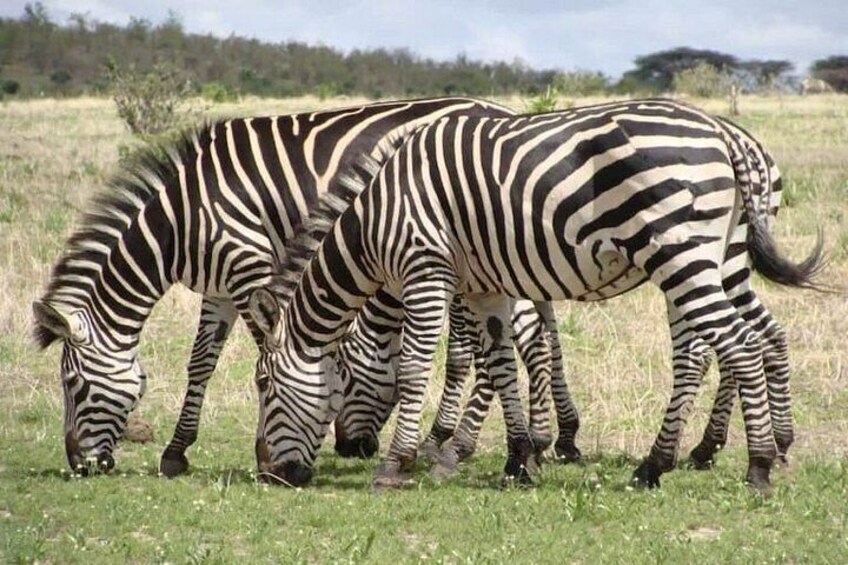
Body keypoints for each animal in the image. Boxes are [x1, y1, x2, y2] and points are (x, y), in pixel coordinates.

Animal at [31, 96, 516, 476]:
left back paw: (452, 444)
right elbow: (201, 362)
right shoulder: (218, 288)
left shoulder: (250, 265)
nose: (79, 467)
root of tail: (499, 109)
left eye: (72, 384)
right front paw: (176, 452)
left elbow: (269, 347)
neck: (180, 221)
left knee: (475, 349)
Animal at [247, 98, 823, 492]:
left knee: (735, 346)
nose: (268, 473)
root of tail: (725, 135)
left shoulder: (426, 271)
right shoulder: (486, 287)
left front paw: (398, 464)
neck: (372, 223)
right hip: (715, 257)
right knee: (741, 341)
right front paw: (518, 460)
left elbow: (419, 369)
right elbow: (501, 366)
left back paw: (756, 465)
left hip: (682, 255)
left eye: (264, 386)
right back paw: (667, 463)